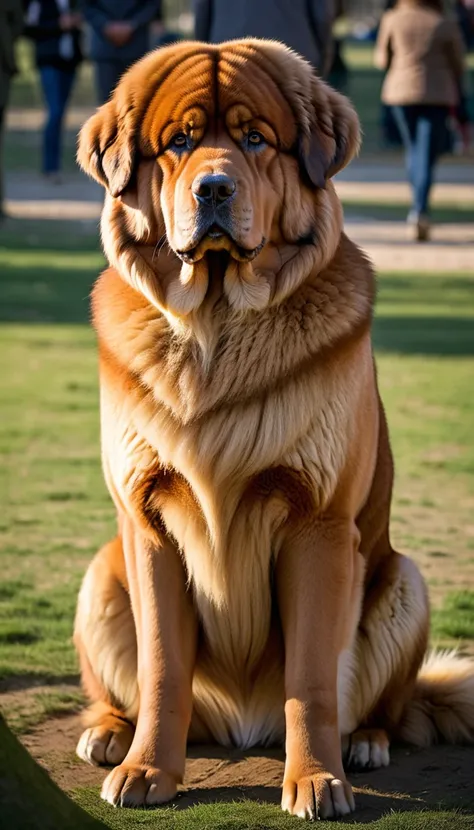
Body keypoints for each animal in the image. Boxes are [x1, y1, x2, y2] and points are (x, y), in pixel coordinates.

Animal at [75, 37, 474, 820]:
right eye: (179, 142)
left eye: (256, 139)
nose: (214, 190)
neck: (217, 326)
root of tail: (241, 726)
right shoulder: (146, 522)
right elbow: (162, 667)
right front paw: (148, 770)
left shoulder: (318, 524)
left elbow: (312, 679)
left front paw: (316, 778)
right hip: (101, 577)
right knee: (126, 690)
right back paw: (110, 733)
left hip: (402, 582)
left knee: (385, 706)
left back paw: (366, 742)